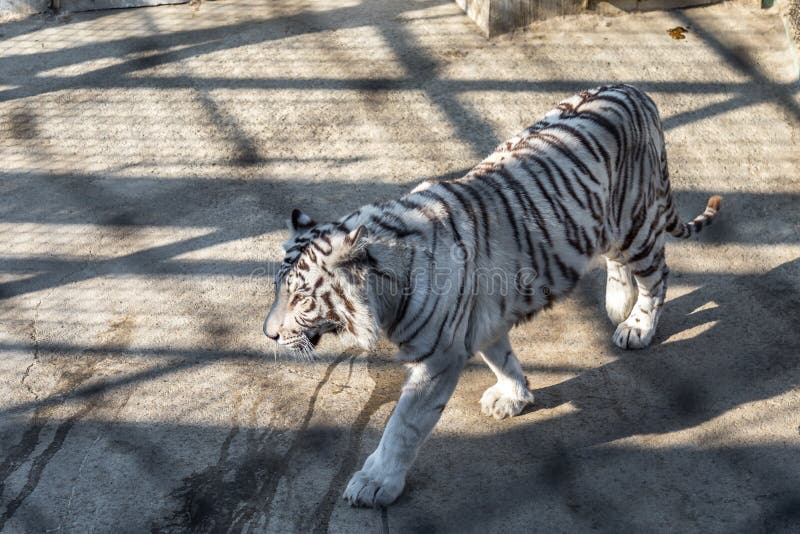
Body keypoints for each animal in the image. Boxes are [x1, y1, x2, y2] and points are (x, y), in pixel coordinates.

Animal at [262, 84, 721, 507]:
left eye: (301, 299)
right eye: (279, 290)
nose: (268, 335)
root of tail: (636, 91)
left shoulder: (438, 357)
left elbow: (402, 427)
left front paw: (375, 483)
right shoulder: (480, 318)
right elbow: (500, 356)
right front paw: (513, 397)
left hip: (635, 224)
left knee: (657, 275)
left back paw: (637, 325)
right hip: (603, 220)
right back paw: (616, 303)